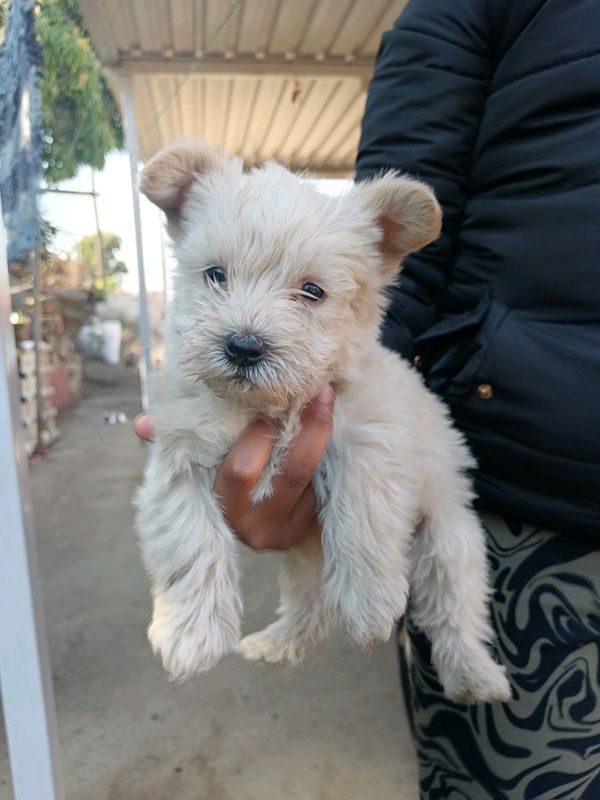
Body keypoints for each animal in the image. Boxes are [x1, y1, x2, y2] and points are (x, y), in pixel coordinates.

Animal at [135, 141, 510, 704]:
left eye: (312, 291)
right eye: (216, 274)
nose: (243, 346)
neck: (271, 407)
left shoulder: (370, 436)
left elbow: (364, 509)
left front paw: (367, 603)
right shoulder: (180, 456)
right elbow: (189, 538)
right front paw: (191, 633)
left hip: (450, 538)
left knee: (455, 610)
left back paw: (473, 675)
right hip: (303, 553)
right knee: (308, 608)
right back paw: (276, 643)